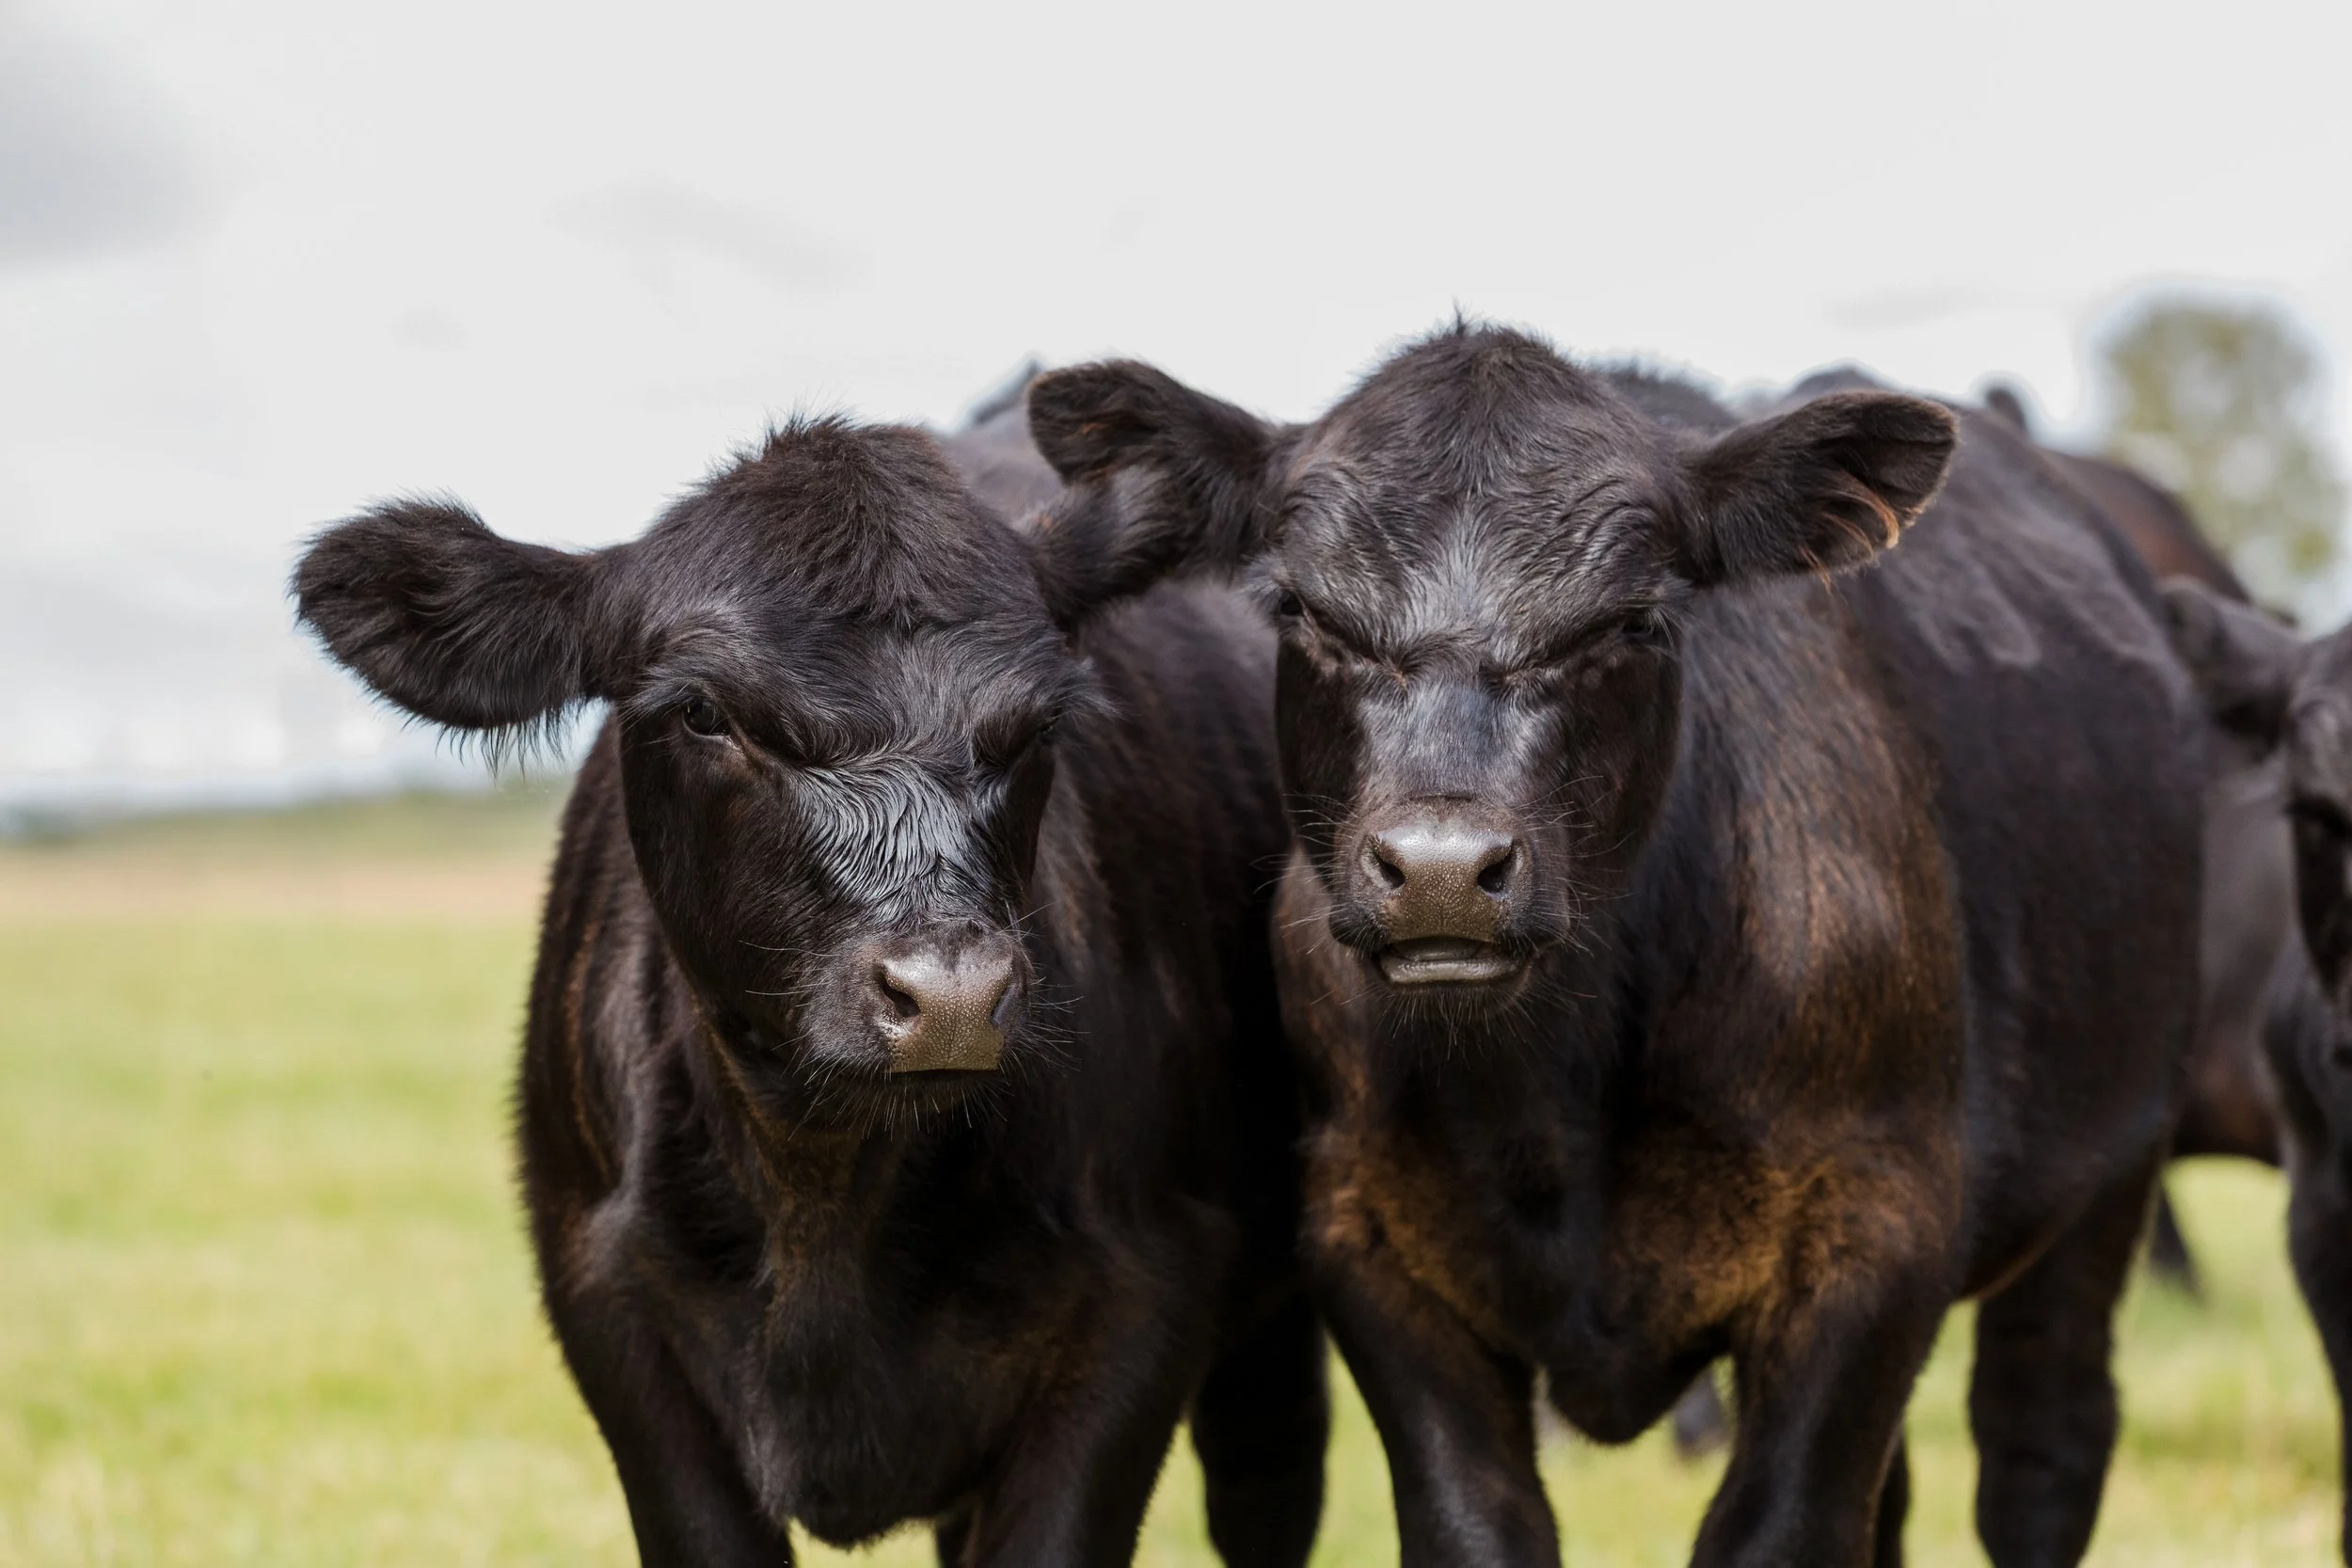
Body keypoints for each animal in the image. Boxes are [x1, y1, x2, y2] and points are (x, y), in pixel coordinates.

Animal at [291, 415, 1328, 1568]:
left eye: (1042, 726)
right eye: (703, 712)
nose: (950, 992)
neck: (824, 1200)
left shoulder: (1145, 1297)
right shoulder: (611, 1312)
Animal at [1024, 323, 2208, 1568]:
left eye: (1630, 620)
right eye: (1303, 611)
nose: (1441, 867)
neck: (1556, 1100)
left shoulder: (1878, 1224)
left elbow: (1782, 1525)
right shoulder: (1369, 1239)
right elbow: (1475, 1523)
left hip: (2108, 1171)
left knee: (2043, 1442)